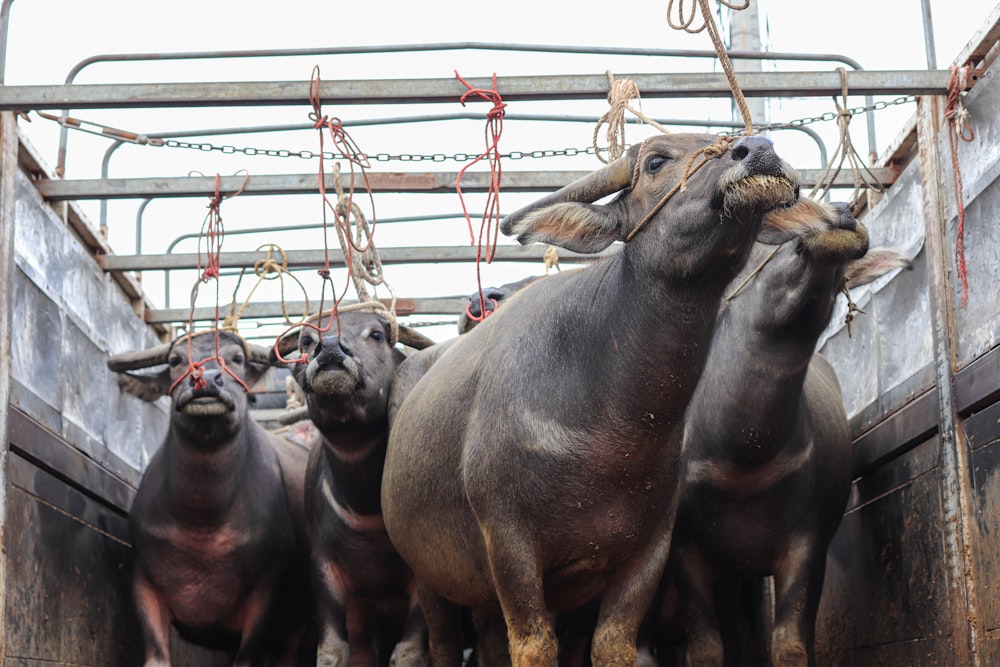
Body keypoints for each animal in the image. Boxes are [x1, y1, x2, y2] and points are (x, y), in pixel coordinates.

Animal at [109, 330, 314, 667]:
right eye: (175, 360)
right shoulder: (144, 584)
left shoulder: (264, 596)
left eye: (237, 359)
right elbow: (156, 657)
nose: (205, 380)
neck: (202, 521)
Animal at [282, 310, 438, 667]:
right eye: (306, 341)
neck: (366, 510)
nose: (328, 348)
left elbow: (409, 653)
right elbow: (332, 651)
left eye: (376, 335)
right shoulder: (323, 568)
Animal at [378, 132, 800, 667]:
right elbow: (535, 646)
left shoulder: (648, 551)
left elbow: (613, 646)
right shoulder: (509, 543)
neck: (614, 428)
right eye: (655, 161)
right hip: (429, 575)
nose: (757, 147)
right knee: (445, 643)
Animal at [668, 198, 912, 667]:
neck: (744, 459)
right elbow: (706, 649)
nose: (841, 213)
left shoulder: (807, 547)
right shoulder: (686, 553)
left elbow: (792, 645)